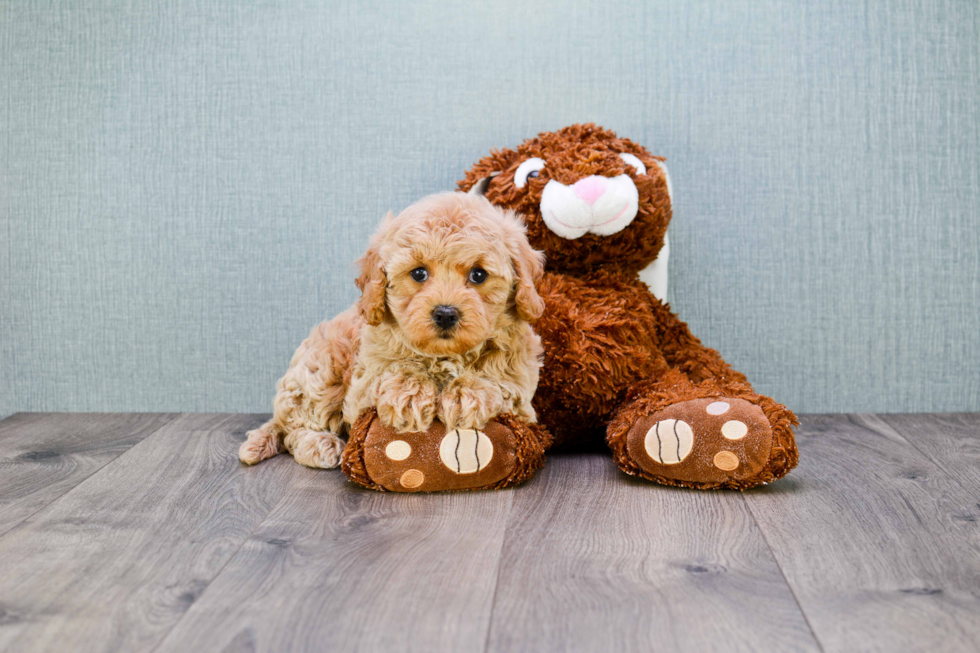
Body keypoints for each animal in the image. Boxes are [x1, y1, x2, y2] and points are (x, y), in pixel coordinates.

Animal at [237, 191, 544, 466]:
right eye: (418, 273)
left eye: (479, 274)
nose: (445, 313)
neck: (444, 356)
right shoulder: (361, 389)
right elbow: (389, 373)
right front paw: (409, 394)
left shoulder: (522, 392)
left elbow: (499, 381)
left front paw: (466, 394)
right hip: (320, 369)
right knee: (294, 427)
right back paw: (320, 444)